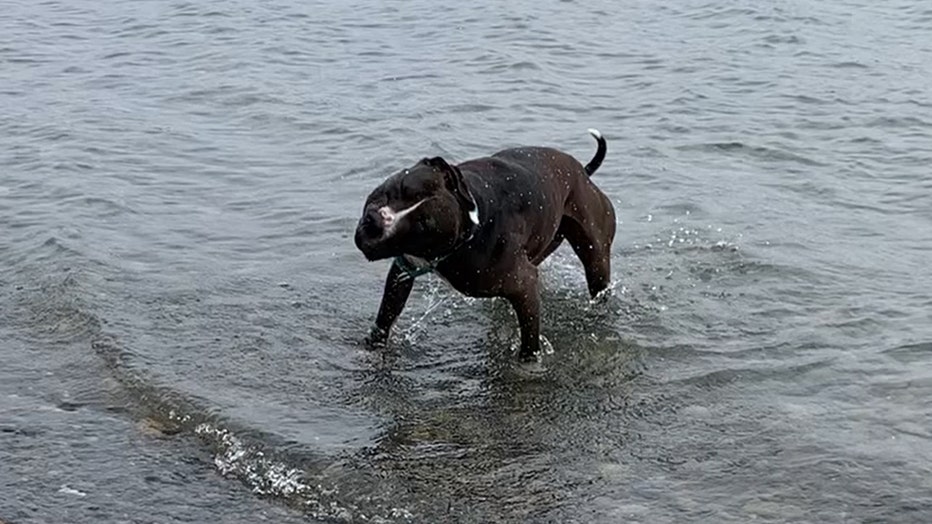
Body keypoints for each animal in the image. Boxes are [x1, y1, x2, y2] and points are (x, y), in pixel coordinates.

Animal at [354, 130, 616, 360]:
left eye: (423, 226)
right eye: (400, 188)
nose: (374, 223)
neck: (469, 219)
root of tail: (583, 172)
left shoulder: (524, 285)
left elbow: (529, 341)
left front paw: (528, 365)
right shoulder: (403, 269)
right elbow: (385, 316)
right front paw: (372, 347)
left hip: (595, 256)